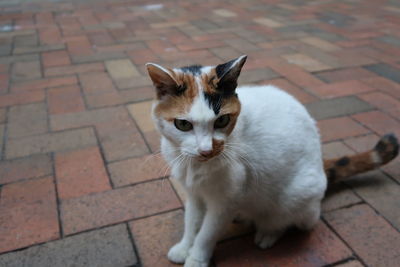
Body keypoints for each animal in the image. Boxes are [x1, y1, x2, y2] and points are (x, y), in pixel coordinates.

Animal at [145, 55, 398, 267]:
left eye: (222, 121)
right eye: (183, 124)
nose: (206, 150)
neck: (196, 166)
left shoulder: (225, 201)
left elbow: (207, 233)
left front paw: (196, 258)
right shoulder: (195, 194)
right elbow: (192, 223)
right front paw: (184, 248)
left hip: (296, 196)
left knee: (294, 219)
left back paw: (268, 233)